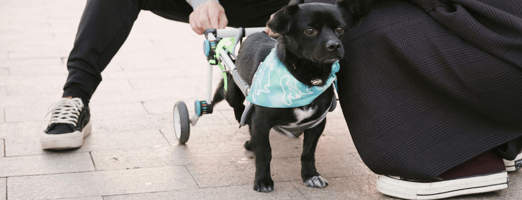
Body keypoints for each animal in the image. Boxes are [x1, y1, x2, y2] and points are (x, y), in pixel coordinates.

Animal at [211, 0, 370, 194]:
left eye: (340, 29)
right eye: (309, 30)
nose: (334, 45)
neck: (307, 77)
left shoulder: (317, 124)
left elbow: (308, 153)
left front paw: (311, 175)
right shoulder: (261, 122)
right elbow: (265, 152)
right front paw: (263, 180)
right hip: (234, 90)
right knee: (236, 105)